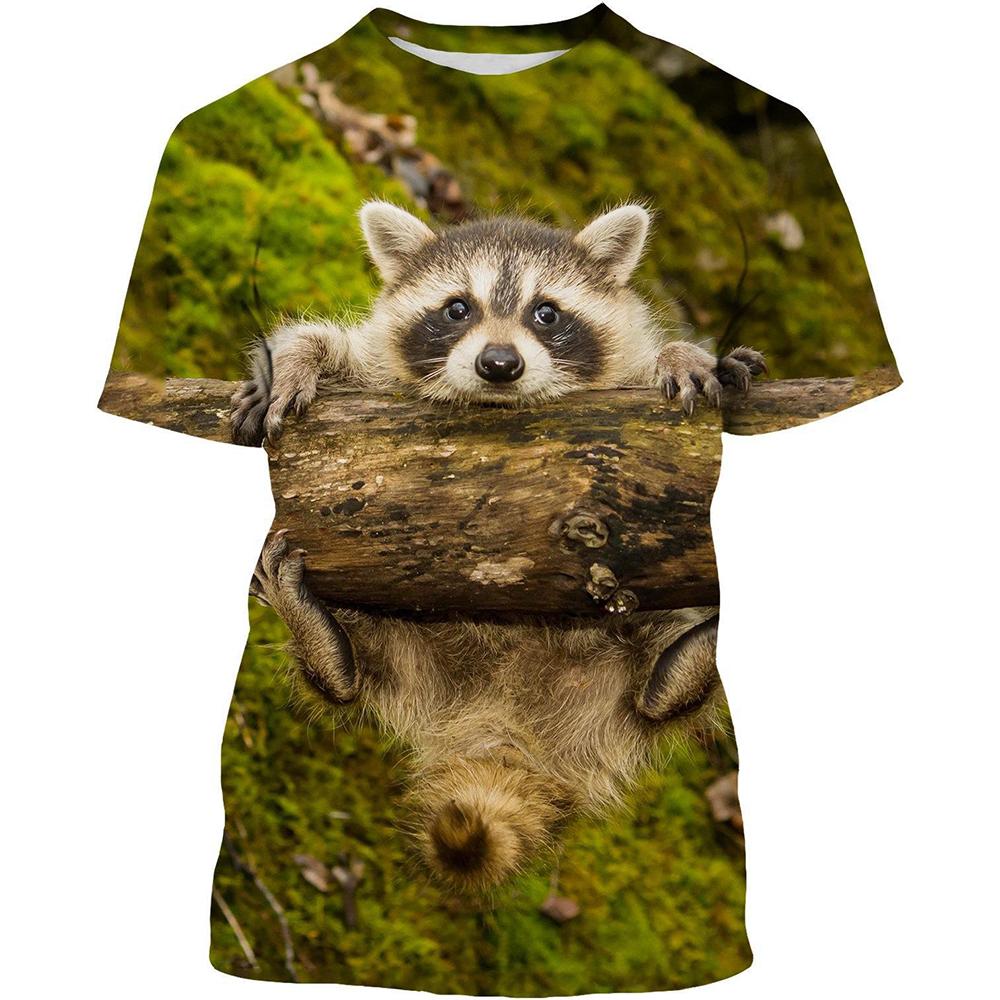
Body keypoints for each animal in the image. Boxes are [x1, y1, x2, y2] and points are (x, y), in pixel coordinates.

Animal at [232, 203, 764, 893]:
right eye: (458, 308)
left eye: (547, 313)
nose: (499, 363)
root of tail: (504, 719)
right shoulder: (379, 367)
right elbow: (336, 345)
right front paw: (297, 358)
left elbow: (650, 362)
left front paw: (680, 353)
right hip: (406, 648)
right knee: (360, 673)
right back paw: (326, 644)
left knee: (655, 698)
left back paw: (683, 669)